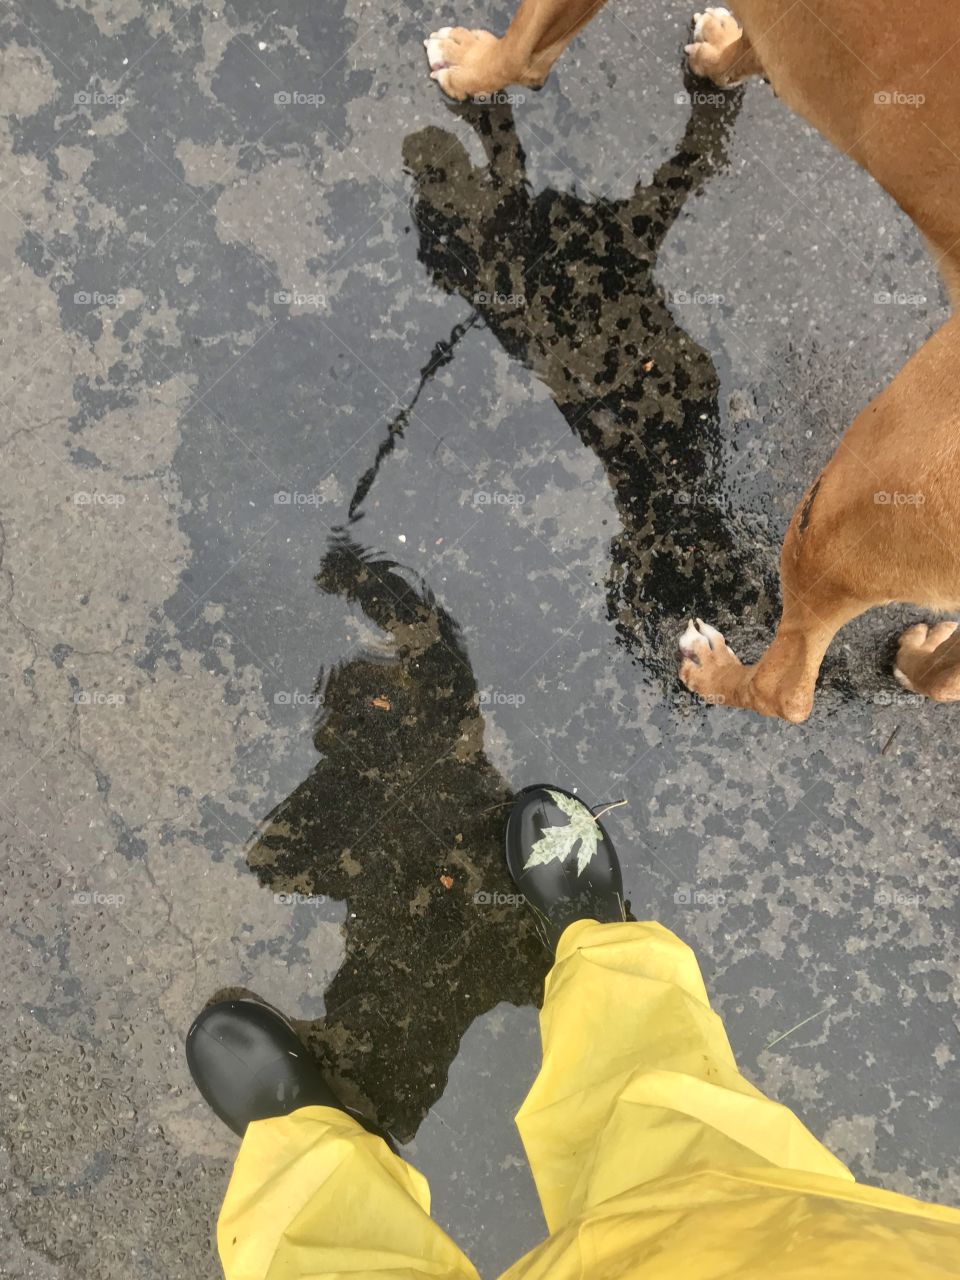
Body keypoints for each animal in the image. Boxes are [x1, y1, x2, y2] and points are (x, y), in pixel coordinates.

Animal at [424, 0, 960, 721]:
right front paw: (719, 60)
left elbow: (527, 45)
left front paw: (472, 69)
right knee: (944, 676)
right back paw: (918, 662)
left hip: (845, 506)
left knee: (788, 690)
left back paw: (715, 672)